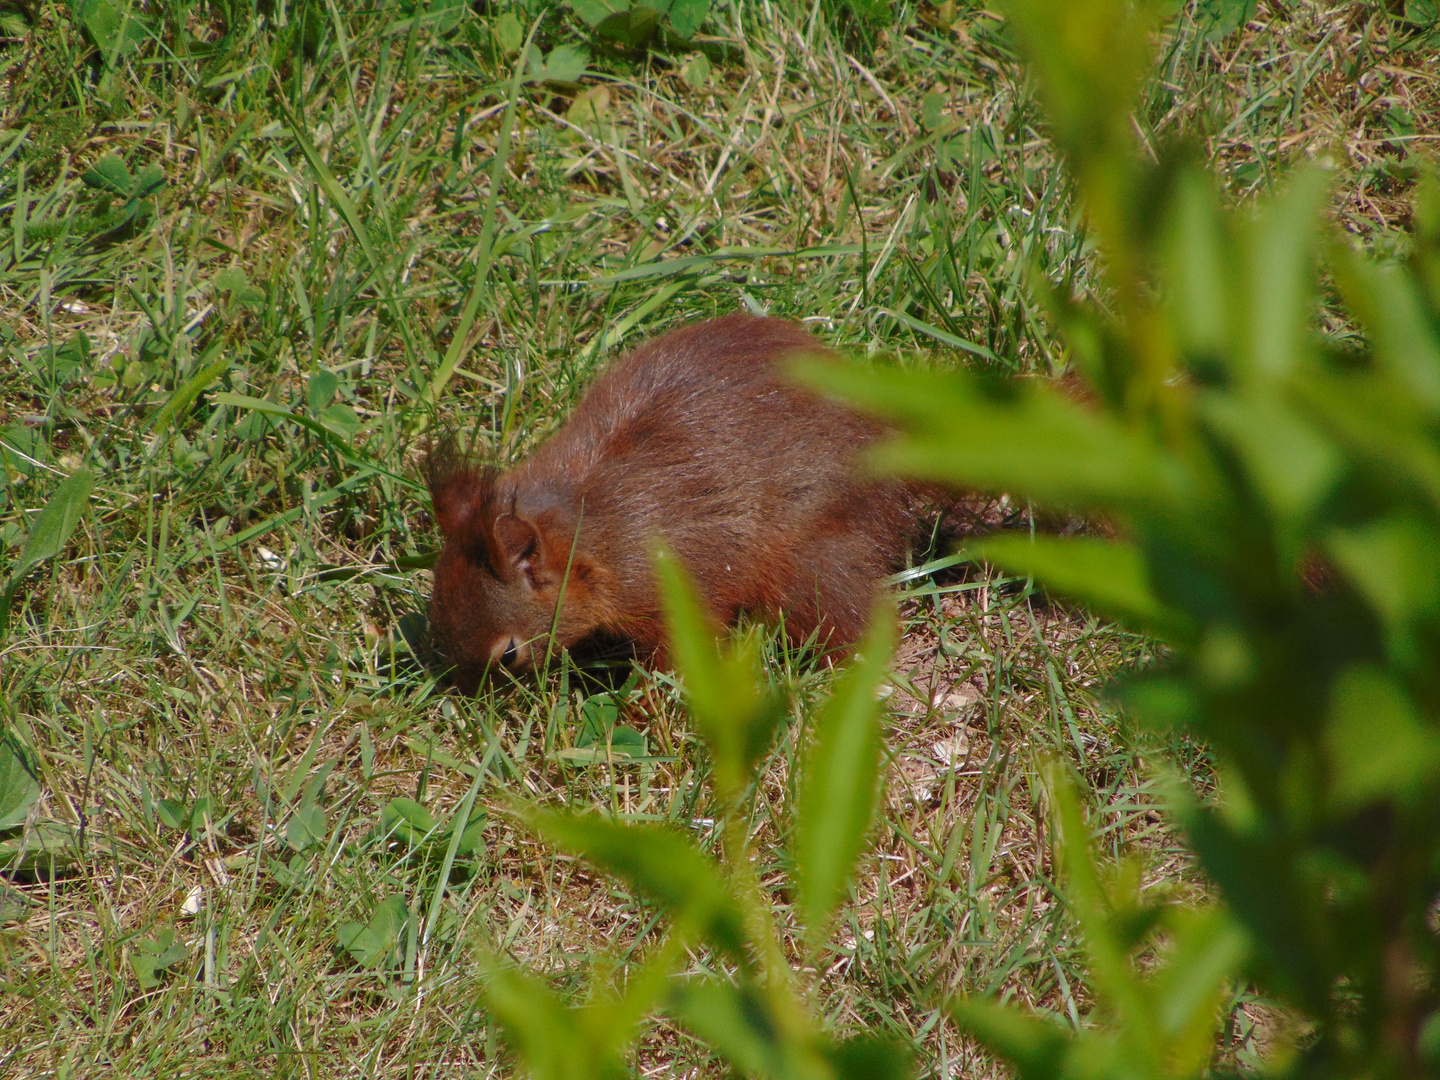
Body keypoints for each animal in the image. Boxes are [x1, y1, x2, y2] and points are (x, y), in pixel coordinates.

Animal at [420, 312, 927, 694]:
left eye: (508, 654)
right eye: (436, 621)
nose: (468, 697)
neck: (591, 529)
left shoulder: (673, 583)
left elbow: (683, 650)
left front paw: (646, 704)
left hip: (810, 556)